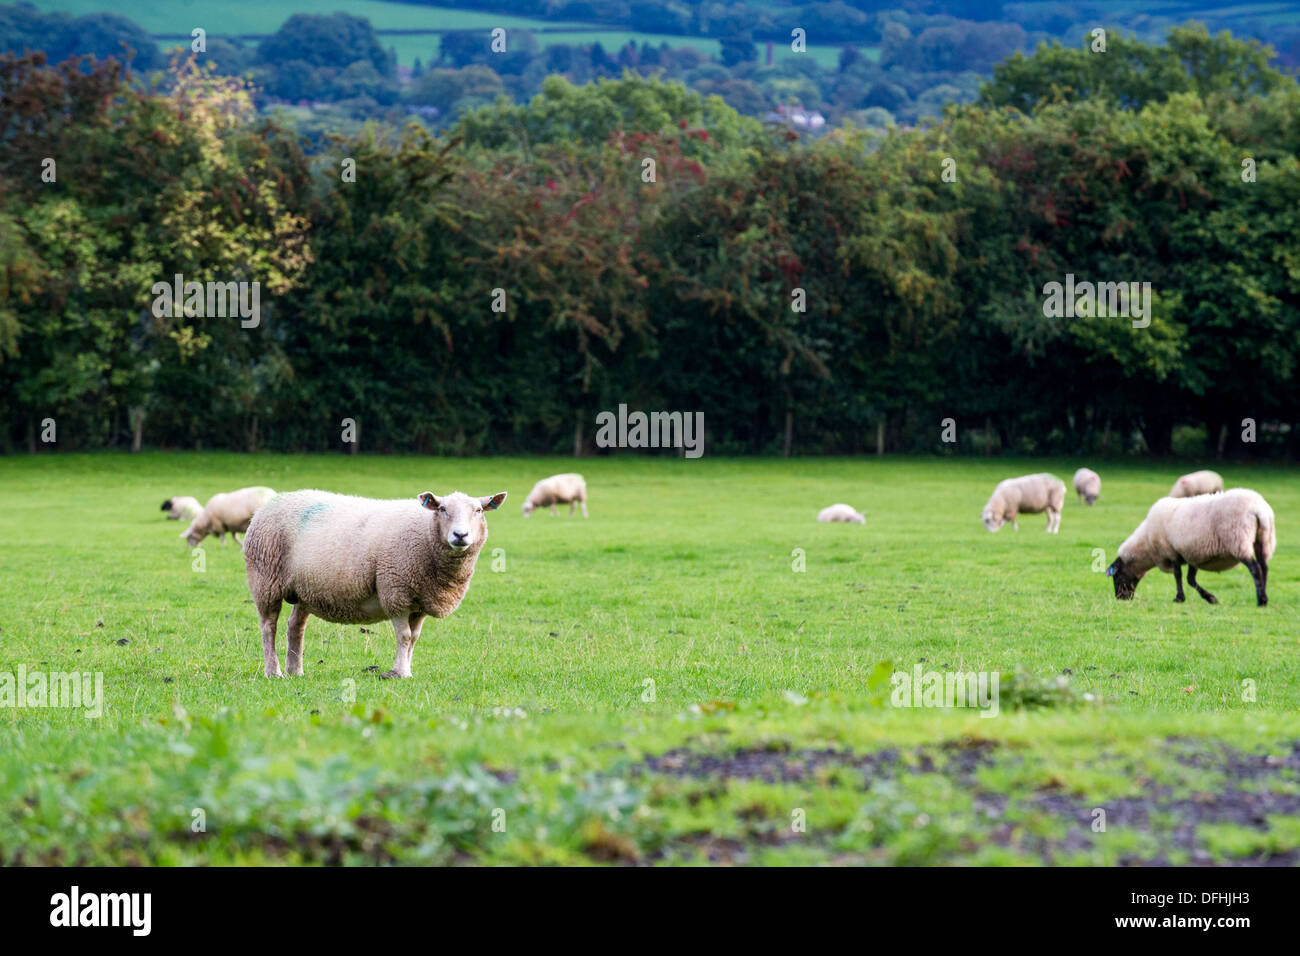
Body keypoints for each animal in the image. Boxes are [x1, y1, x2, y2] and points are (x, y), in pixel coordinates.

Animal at [241, 486, 504, 681]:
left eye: (479, 510)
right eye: (442, 508)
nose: (460, 535)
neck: (426, 536)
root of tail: (268, 505)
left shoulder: (420, 602)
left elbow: (414, 638)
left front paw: (407, 670)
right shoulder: (395, 591)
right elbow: (405, 637)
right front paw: (399, 673)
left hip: (304, 589)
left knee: (295, 626)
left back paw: (295, 670)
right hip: (265, 579)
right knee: (269, 627)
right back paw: (273, 672)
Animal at [1107, 489, 1279, 608]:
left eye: (1117, 576)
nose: (1120, 598)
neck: (1147, 545)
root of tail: (1259, 510)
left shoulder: (1171, 552)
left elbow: (1178, 575)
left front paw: (1179, 598)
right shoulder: (1192, 554)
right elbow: (1191, 579)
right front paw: (1211, 598)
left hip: (1239, 541)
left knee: (1255, 568)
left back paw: (1261, 600)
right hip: (1263, 539)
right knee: (1264, 567)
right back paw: (1265, 597)